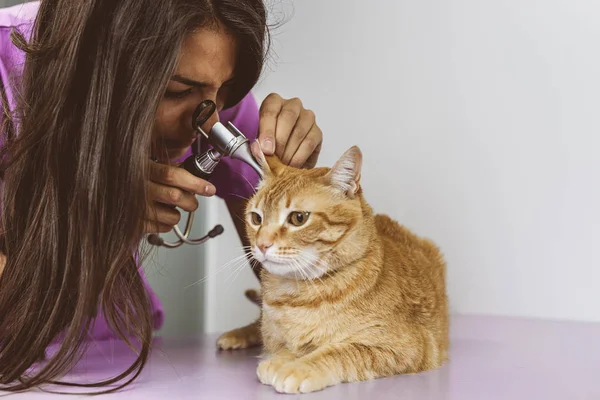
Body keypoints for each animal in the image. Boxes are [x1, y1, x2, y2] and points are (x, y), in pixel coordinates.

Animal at [243, 147, 446, 394]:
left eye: (298, 218)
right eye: (256, 218)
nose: (262, 244)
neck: (297, 298)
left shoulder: (405, 347)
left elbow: (340, 352)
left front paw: (298, 367)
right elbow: (286, 348)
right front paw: (280, 359)